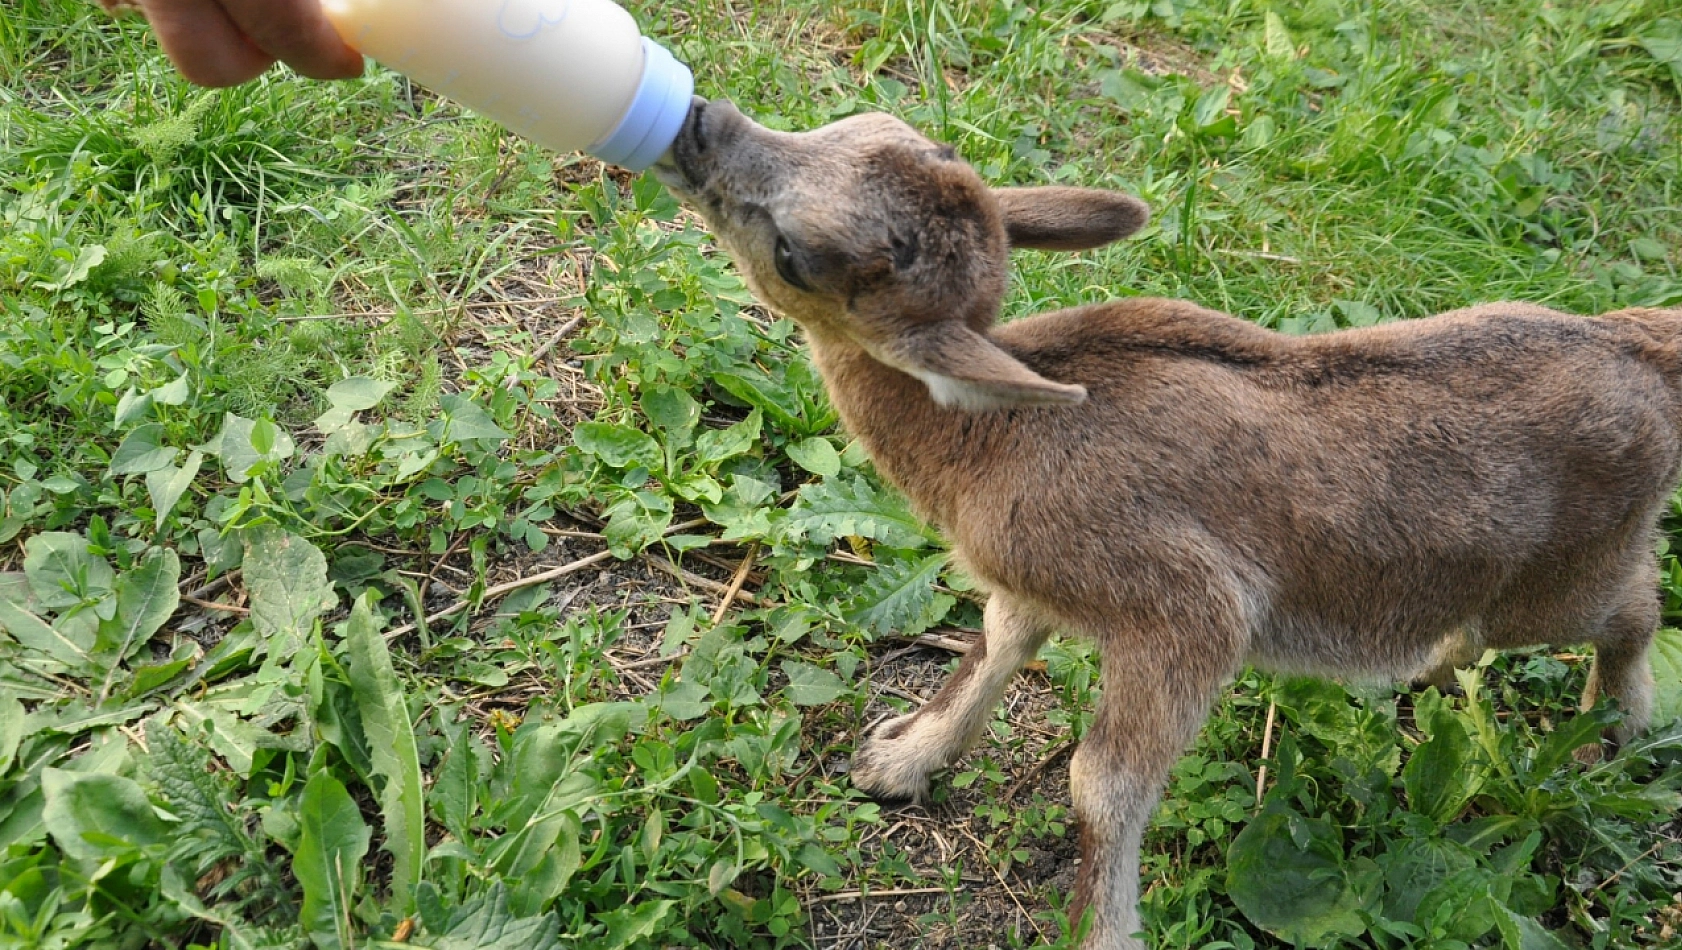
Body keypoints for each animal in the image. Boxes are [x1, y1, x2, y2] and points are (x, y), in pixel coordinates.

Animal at [649, 100, 1675, 941]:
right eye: (847, 125)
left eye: (796, 255)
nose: (698, 122)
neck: (988, 440)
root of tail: (1638, 345)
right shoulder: (1031, 582)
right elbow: (995, 648)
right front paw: (899, 761)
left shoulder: (1182, 609)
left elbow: (1101, 783)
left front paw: (1099, 929)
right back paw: (1422, 665)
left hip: (1563, 579)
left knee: (1634, 609)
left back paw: (1619, 734)